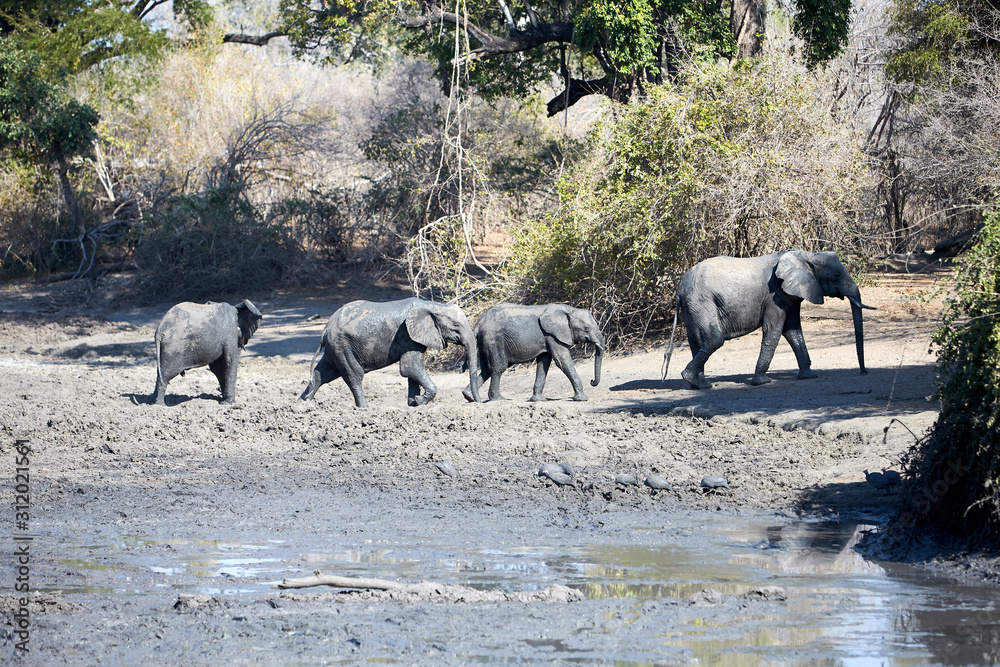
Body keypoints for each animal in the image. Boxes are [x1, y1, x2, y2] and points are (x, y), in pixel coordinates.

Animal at [300, 298, 483, 407]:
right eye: (456, 325)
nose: (476, 401)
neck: (432, 305)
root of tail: (325, 329)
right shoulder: (407, 335)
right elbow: (410, 368)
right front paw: (420, 401)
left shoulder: (412, 337)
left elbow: (411, 372)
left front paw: (413, 404)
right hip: (342, 344)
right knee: (354, 375)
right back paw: (364, 408)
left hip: (335, 347)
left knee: (322, 373)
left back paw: (302, 403)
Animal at [461, 303, 605, 402]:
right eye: (586, 328)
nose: (592, 381)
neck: (569, 310)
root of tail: (479, 322)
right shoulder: (552, 335)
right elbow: (562, 361)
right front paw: (582, 399)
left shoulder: (547, 337)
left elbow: (544, 363)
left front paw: (538, 400)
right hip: (493, 339)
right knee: (498, 368)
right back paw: (498, 399)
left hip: (485, 341)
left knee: (486, 370)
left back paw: (469, 397)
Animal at [663, 250, 876, 389]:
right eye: (836, 275)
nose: (863, 372)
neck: (807, 256)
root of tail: (679, 288)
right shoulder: (774, 295)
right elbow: (774, 330)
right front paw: (762, 382)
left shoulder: (790, 295)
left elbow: (793, 330)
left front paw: (809, 376)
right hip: (701, 301)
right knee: (714, 339)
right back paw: (693, 380)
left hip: (692, 306)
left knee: (697, 342)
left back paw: (699, 384)